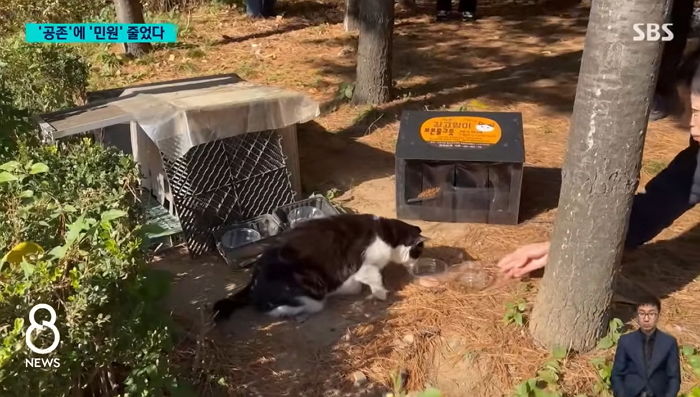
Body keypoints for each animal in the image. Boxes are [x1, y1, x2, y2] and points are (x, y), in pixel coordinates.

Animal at [211, 212, 424, 320]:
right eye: (418, 254)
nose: (416, 268)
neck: (387, 235)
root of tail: (253, 281)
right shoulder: (363, 265)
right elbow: (375, 279)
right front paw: (381, 294)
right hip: (311, 293)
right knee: (272, 309)